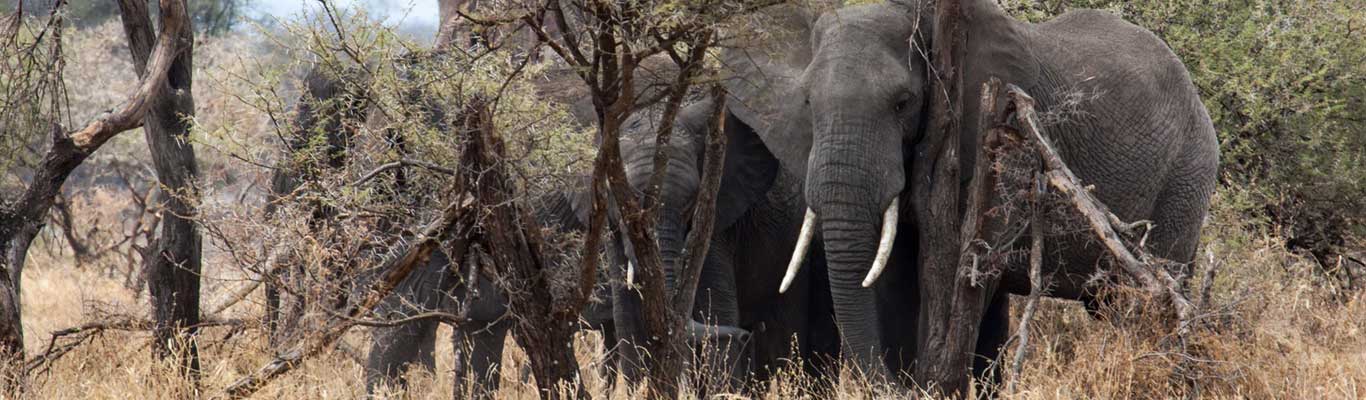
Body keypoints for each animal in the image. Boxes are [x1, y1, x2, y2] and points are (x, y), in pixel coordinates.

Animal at [721, 0, 1223, 384]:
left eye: (902, 104)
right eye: (807, 102)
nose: (878, 382)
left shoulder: (1003, 142)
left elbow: (969, 269)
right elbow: (895, 277)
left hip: (1185, 177)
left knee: (1145, 304)